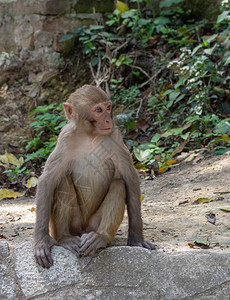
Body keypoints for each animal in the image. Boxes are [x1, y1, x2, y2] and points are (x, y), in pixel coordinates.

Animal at [34, 84, 155, 268]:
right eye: (98, 110)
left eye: (108, 108)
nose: (108, 120)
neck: (89, 135)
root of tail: (84, 229)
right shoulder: (65, 138)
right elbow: (48, 180)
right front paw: (41, 241)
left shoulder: (114, 136)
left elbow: (129, 176)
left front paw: (136, 238)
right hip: (75, 223)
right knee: (62, 182)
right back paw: (65, 238)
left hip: (93, 223)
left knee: (118, 184)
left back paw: (100, 238)